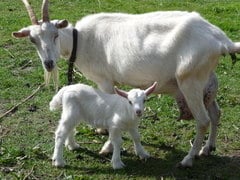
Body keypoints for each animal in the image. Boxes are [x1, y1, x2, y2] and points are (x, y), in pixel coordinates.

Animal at [12, 0, 240, 168]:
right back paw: (207, 148)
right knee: (215, 112)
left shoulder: (105, 80)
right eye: (32, 40)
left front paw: (106, 145)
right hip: (206, 80)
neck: (81, 39)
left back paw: (188, 159)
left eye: (55, 34)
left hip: (190, 81)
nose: (49, 63)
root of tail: (222, 40)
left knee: (202, 120)